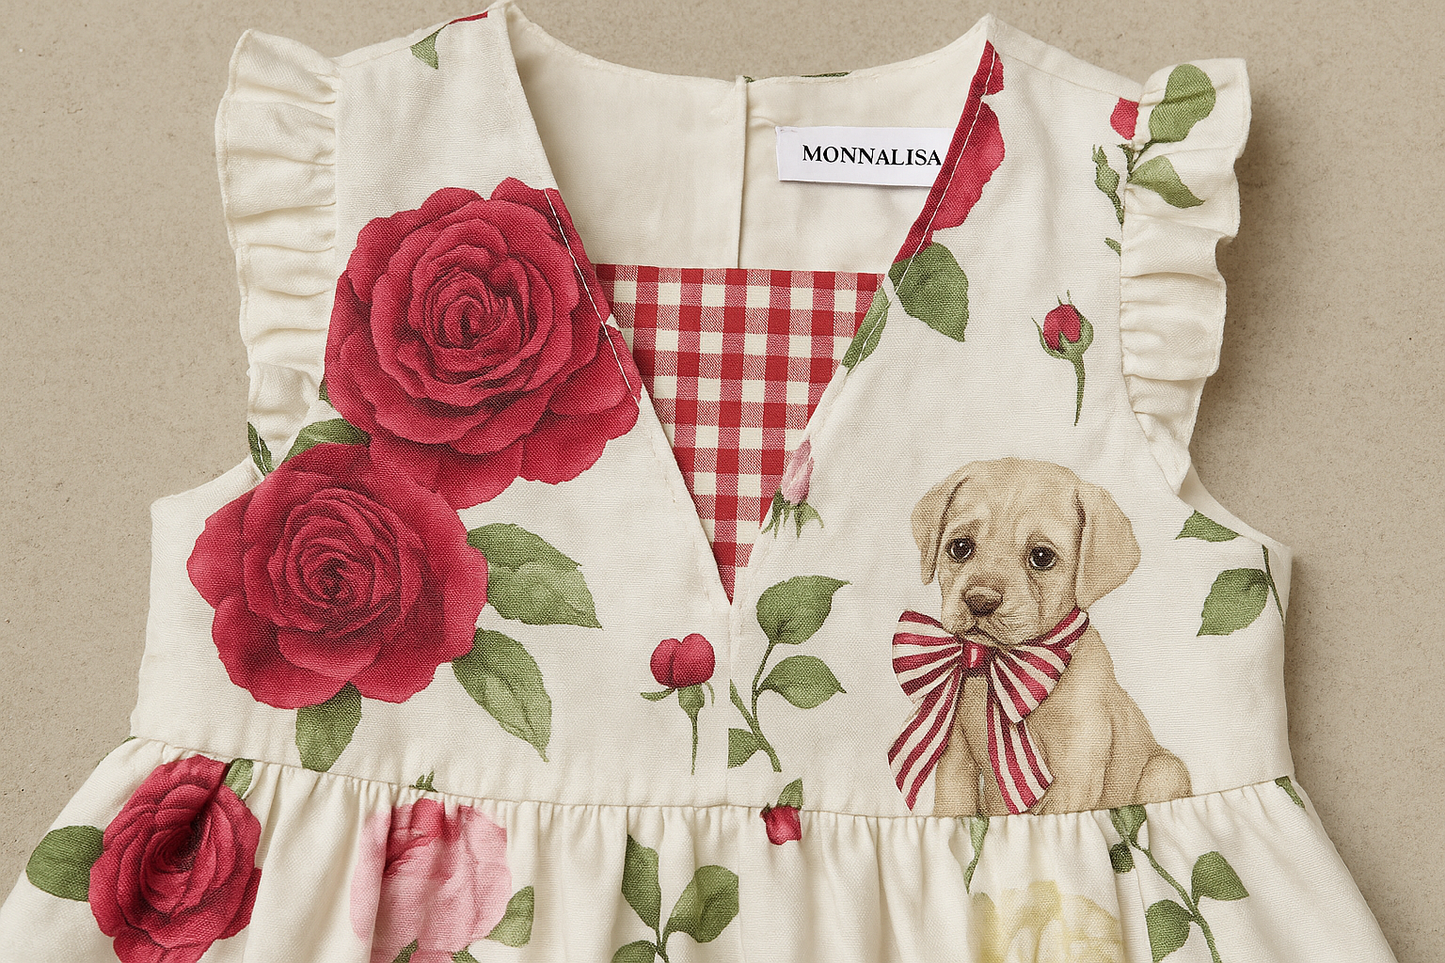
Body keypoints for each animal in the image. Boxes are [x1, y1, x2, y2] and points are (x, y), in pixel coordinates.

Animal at [910, 457, 1191, 816]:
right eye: (960, 548)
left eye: (1041, 557)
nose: (980, 600)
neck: (1000, 666)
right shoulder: (956, 761)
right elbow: (953, 807)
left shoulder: (1076, 772)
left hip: (1164, 772)